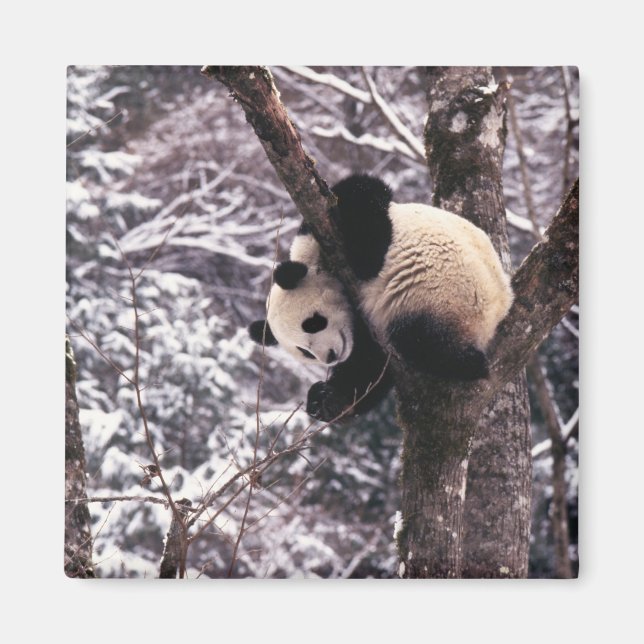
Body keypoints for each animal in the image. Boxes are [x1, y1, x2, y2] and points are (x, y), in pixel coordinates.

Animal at [249, 174, 513, 422]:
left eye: (313, 323)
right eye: (305, 352)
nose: (330, 357)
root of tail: (499, 310)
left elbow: (363, 199)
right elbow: (369, 365)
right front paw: (326, 400)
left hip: (444, 296)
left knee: (419, 339)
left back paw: (468, 362)